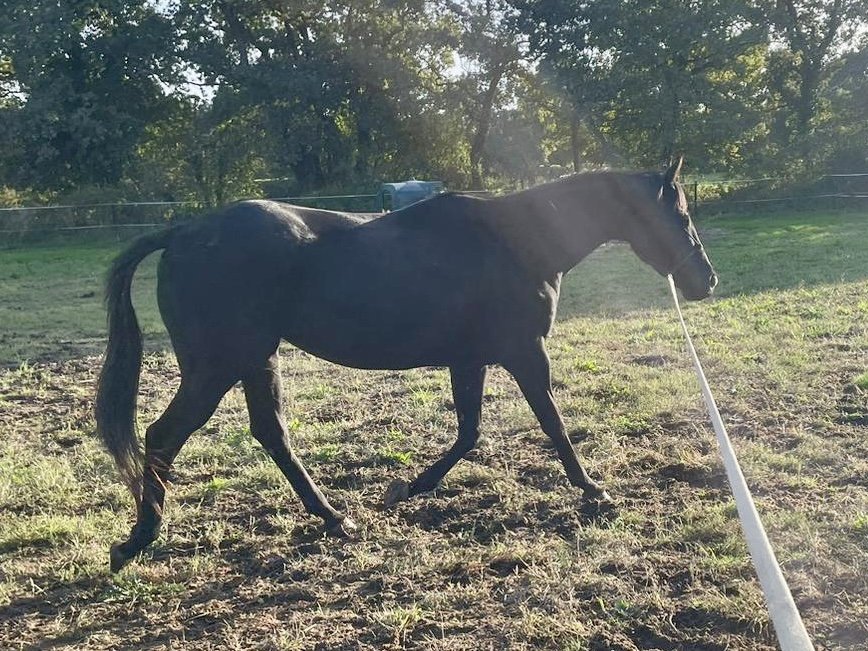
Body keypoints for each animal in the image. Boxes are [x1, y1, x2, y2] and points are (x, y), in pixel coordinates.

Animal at [95, 158, 717, 572]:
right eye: (680, 214)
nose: (705, 281)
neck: (518, 242)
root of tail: (184, 232)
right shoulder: (523, 352)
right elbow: (553, 427)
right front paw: (594, 491)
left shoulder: (471, 359)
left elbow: (469, 432)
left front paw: (407, 488)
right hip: (216, 367)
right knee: (163, 435)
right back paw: (139, 538)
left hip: (253, 360)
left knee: (269, 434)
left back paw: (334, 518)